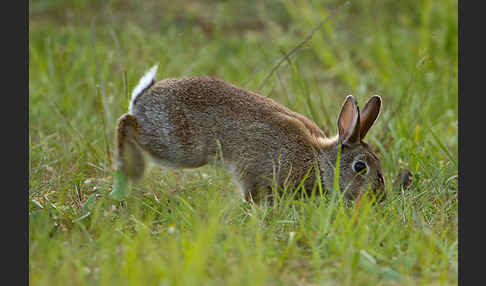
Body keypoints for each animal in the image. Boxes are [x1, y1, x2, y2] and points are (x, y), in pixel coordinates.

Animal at [113, 65, 384, 203]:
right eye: (360, 167)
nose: (378, 197)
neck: (319, 160)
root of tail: (144, 97)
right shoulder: (255, 170)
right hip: (177, 145)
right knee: (126, 123)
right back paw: (128, 172)